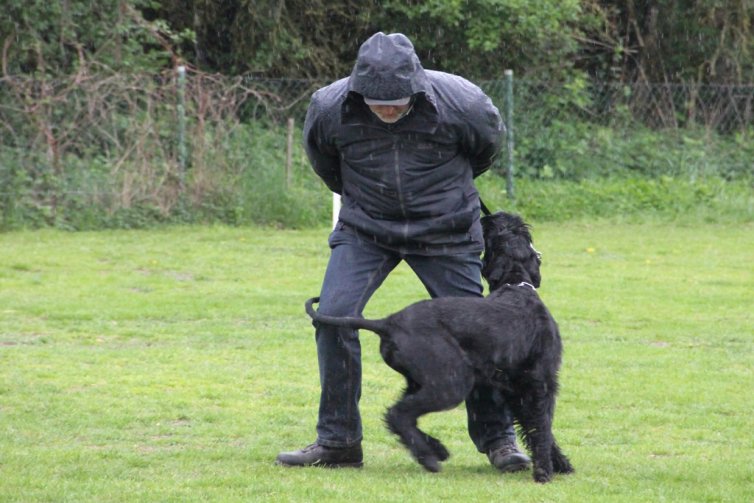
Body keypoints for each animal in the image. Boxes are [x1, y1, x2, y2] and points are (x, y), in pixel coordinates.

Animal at [302, 213, 572, 484]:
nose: (490, 217)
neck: (516, 285)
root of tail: (388, 322)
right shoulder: (541, 384)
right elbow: (542, 426)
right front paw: (546, 471)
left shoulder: (515, 389)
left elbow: (533, 426)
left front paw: (560, 464)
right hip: (452, 383)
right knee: (400, 413)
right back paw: (429, 457)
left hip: (420, 381)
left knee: (398, 414)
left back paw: (435, 449)